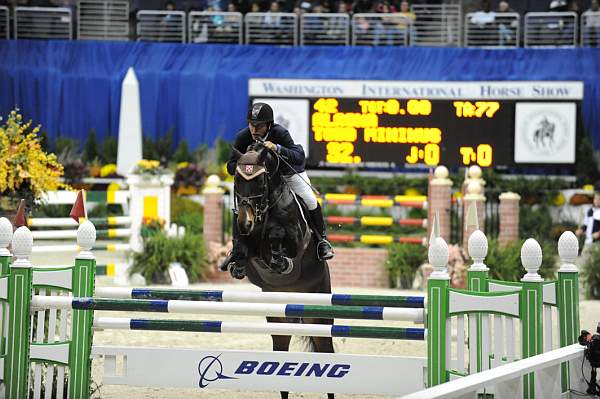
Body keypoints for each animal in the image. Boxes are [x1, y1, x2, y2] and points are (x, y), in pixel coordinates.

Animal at [231, 144, 336, 399]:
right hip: (279, 320)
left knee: (325, 350)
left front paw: (280, 261)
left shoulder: (295, 241)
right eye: (237, 180)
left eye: (260, 181)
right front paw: (238, 262)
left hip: (319, 316)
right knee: (281, 351)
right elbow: (244, 249)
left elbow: (277, 243)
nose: (245, 223)